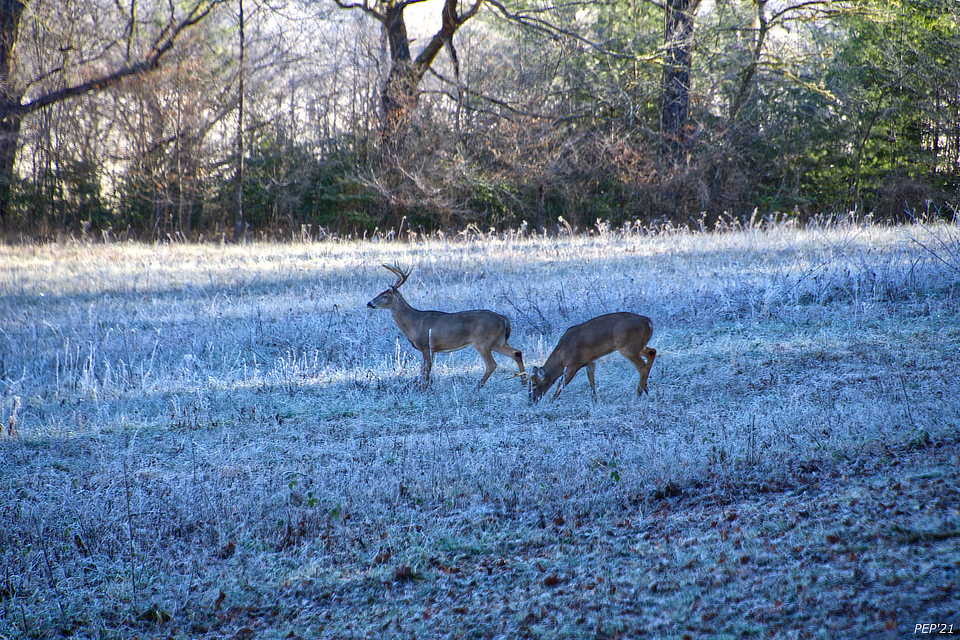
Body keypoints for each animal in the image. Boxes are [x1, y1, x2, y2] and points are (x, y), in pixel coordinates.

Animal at [367, 264, 525, 388]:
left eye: (385, 296)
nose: (369, 303)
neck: (413, 322)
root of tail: (504, 319)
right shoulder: (429, 349)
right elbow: (424, 370)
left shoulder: (427, 345)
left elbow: (425, 370)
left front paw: (423, 388)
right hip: (498, 341)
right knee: (516, 353)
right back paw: (524, 381)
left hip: (483, 341)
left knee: (492, 364)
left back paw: (477, 387)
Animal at [528, 312, 656, 402]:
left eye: (534, 387)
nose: (531, 402)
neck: (561, 357)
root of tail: (648, 322)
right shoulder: (590, 361)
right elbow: (591, 381)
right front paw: (595, 400)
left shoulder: (572, 364)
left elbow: (561, 384)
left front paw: (552, 401)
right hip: (637, 346)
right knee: (652, 352)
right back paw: (645, 389)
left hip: (627, 347)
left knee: (643, 367)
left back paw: (638, 394)